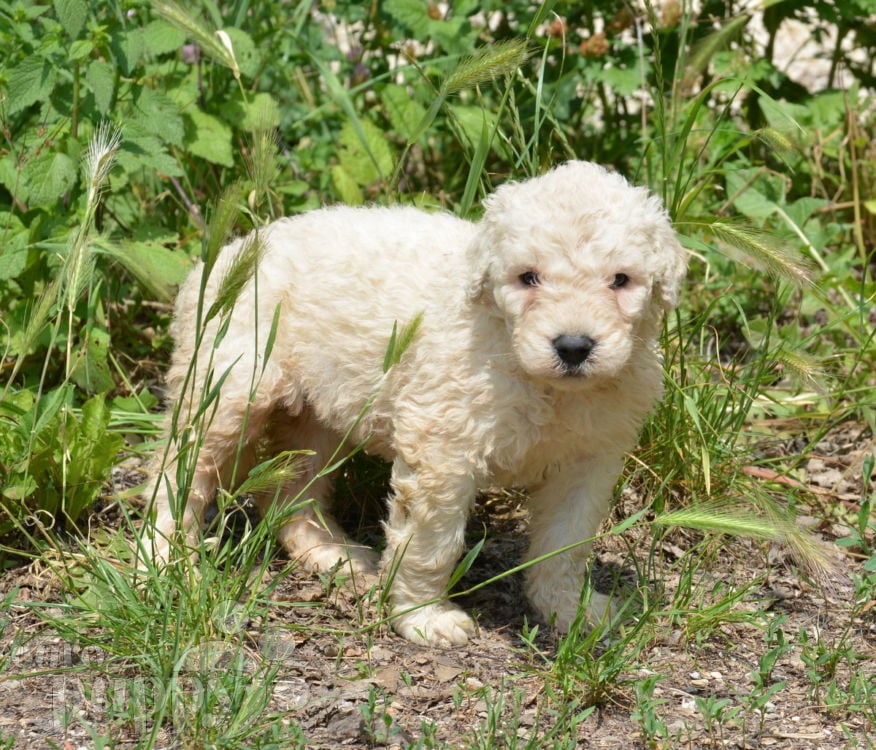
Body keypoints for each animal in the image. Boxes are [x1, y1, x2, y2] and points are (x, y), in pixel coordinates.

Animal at [147, 163, 688, 648]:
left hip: (316, 413)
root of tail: (230, 253)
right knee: (176, 473)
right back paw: (163, 562)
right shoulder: (443, 454)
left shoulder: (589, 461)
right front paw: (425, 618)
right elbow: (432, 545)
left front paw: (571, 610)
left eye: (620, 280)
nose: (574, 346)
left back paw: (334, 555)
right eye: (528, 278)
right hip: (228, 387)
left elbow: (565, 545)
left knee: (293, 493)